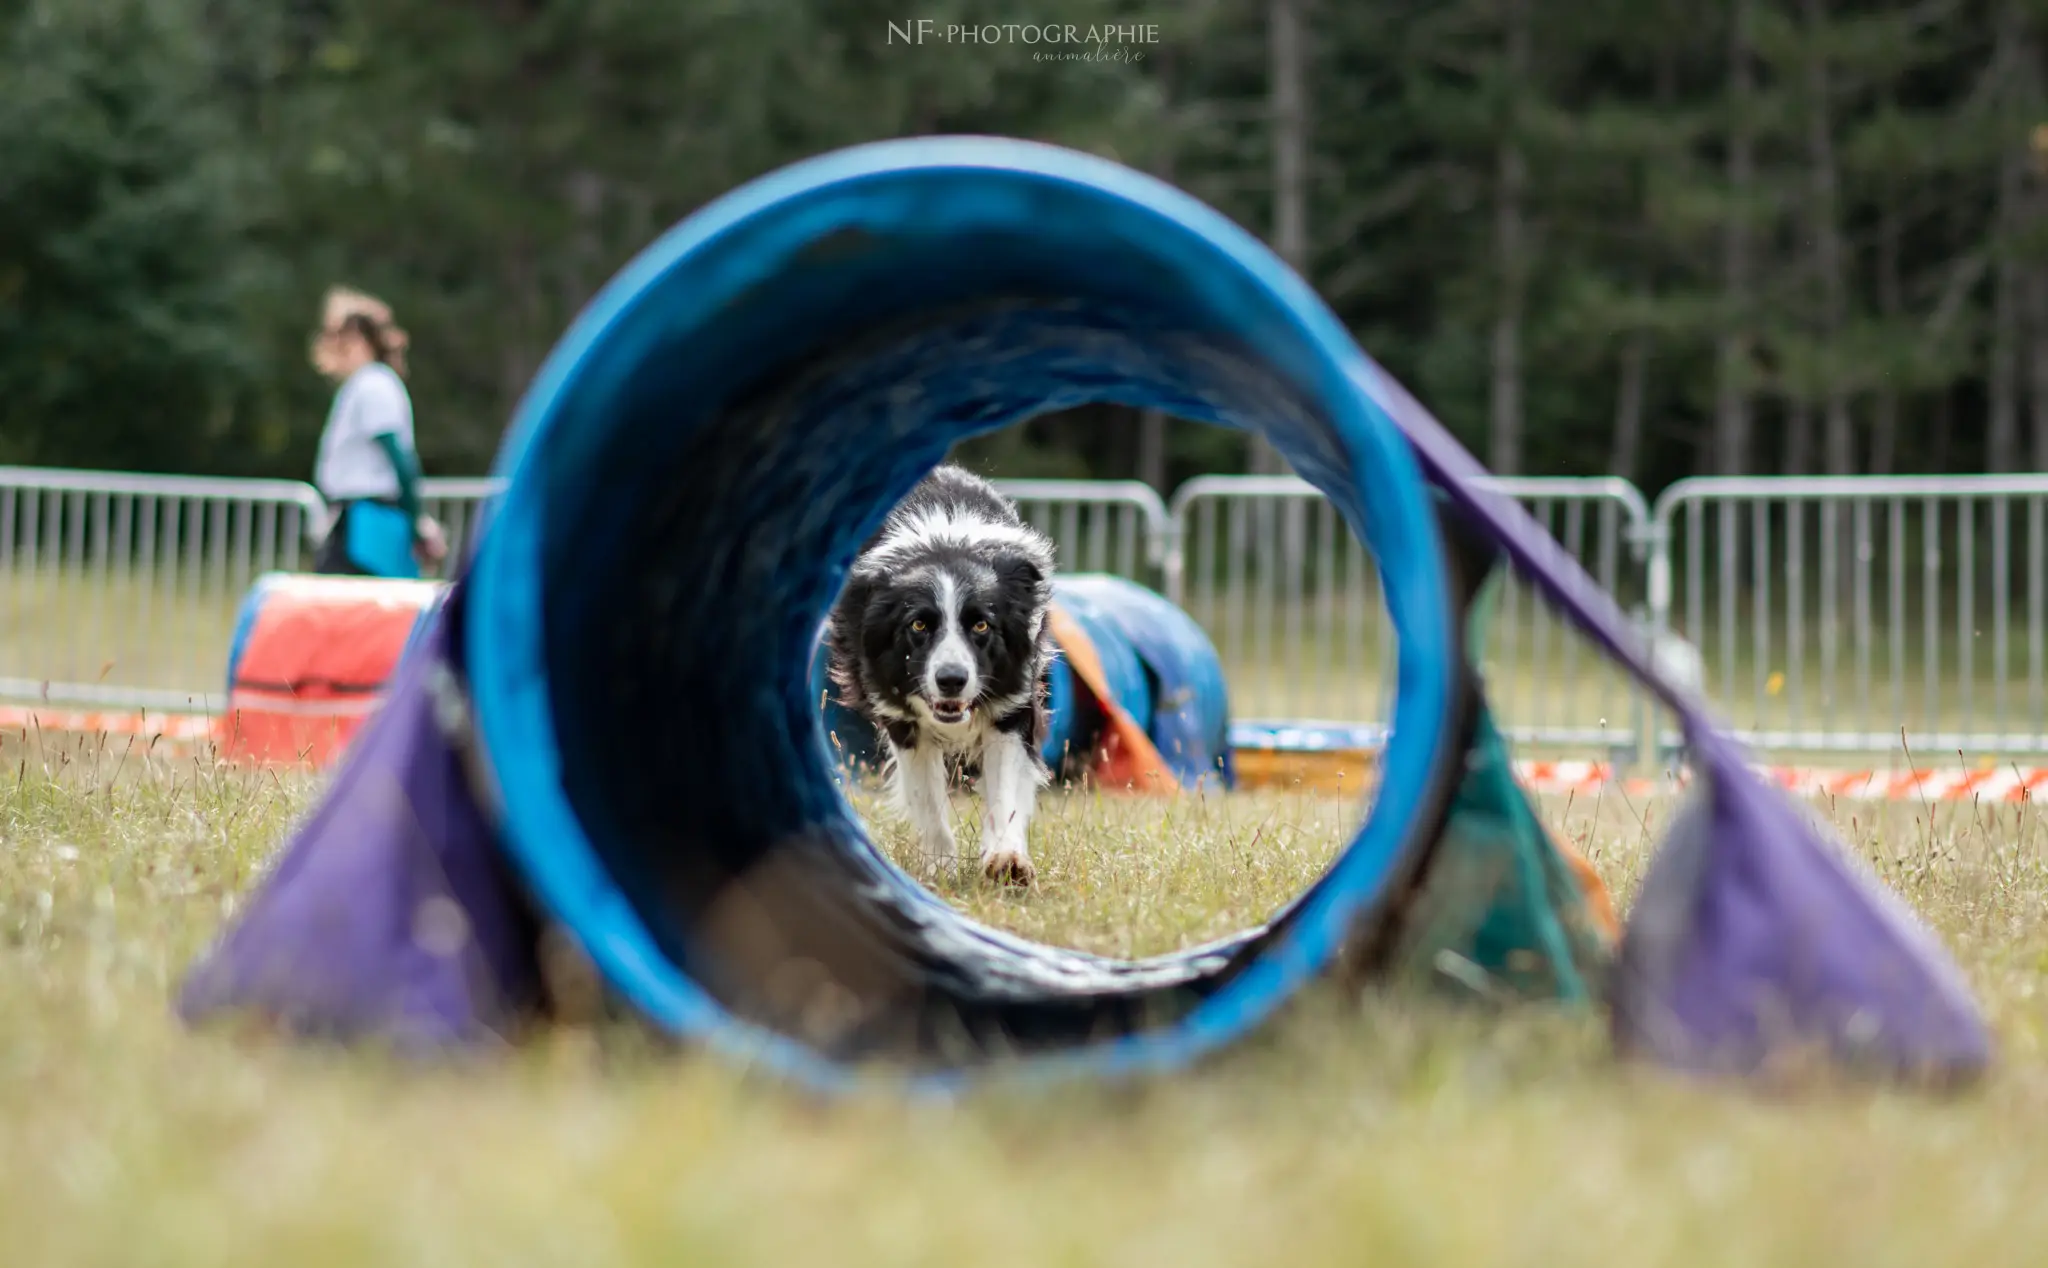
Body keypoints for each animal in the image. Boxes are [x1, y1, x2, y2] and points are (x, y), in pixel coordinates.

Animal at [827, 460, 1056, 889]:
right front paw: (940, 869)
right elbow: (928, 799)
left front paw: (1006, 860)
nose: (952, 680)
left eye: (981, 625)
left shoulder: (1010, 701)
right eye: (918, 625)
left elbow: (1005, 789)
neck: (946, 545)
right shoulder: (901, 718)